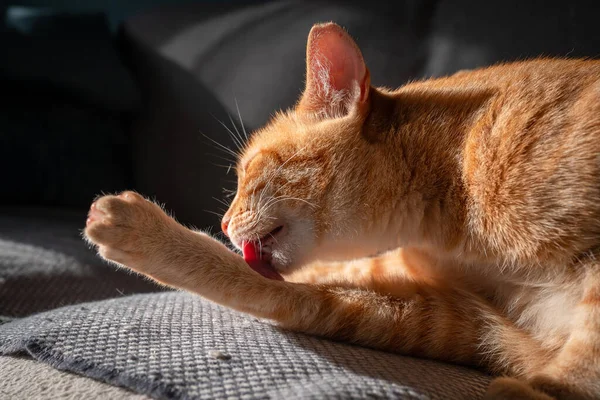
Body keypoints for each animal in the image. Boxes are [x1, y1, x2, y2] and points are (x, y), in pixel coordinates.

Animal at [83, 22, 600, 400]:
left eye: (248, 170)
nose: (225, 223)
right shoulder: (446, 315)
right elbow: (281, 288)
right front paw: (146, 238)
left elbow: (582, 359)